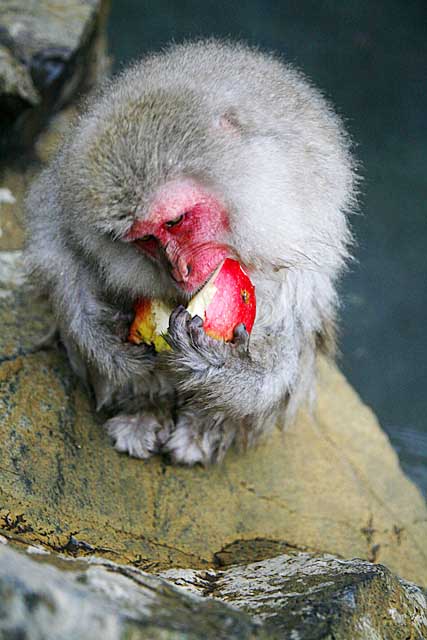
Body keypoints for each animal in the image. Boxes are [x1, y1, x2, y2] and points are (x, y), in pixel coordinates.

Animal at [25, 40, 356, 464]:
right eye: (146, 240)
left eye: (176, 220)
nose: (180, 269)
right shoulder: (65, 195)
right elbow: (59, 250)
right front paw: (103, 338)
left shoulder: (305, 233)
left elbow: (291, 335)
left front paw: (220, 367)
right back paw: (143, 411)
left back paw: (202, 430)